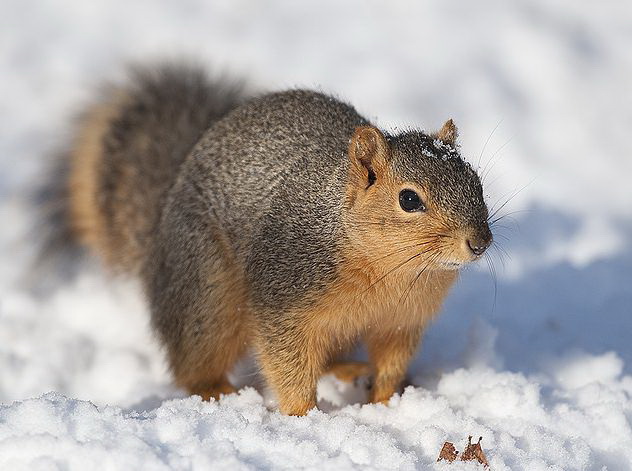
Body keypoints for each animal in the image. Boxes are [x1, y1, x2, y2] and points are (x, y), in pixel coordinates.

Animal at [50, 63, 494, 416]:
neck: (391, 270)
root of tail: (160, 234)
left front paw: (385, 404)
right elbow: (287, 362)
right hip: (207, 294)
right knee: (192, 362)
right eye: (409, 199)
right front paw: (303, 415)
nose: (480, 242)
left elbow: (390, 363)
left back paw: (347, 370)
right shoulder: (282, 297)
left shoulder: (401, 321)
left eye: (476, 183)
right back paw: (219, 392)